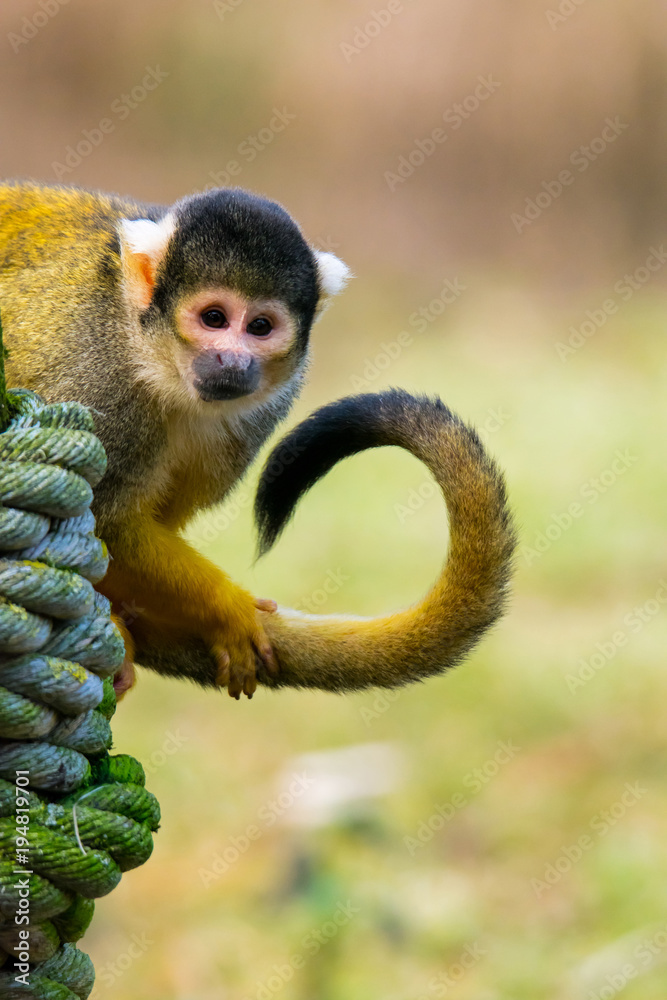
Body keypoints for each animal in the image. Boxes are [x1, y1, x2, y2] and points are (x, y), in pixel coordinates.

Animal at [0, 181, 516, 700]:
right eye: (213, 318)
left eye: (260, 327)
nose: (232, 361)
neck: (153, 360)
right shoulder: (94, 375)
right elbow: (106, 519)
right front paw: (226, 606)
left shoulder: (263, 409)